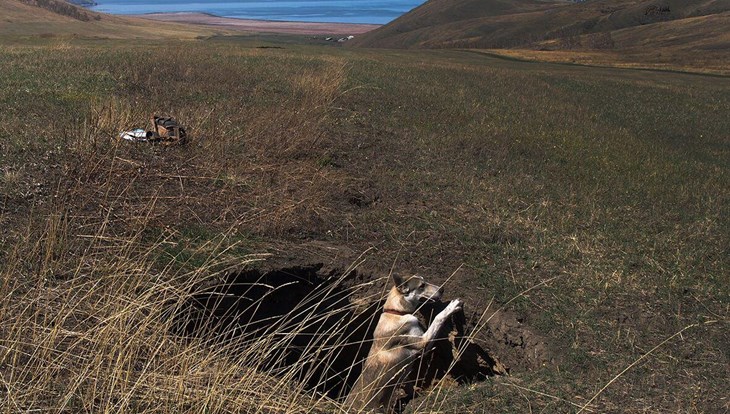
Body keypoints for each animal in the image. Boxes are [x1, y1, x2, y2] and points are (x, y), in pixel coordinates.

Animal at [342, 274, 458, 412]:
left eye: (425, 280)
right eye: (422, 286)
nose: (442, 289)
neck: (396, 313)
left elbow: (407, 384)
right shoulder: (423, 344)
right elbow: (438, 318)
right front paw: (451, 308)